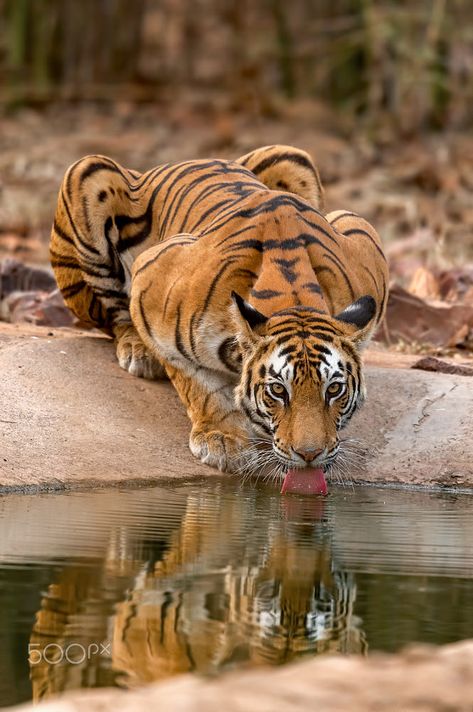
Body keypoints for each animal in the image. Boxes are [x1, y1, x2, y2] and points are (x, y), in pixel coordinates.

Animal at [50, 145, 388, 490]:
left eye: (334, 389)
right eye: (278, 391)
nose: (310, 454)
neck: (294, 298)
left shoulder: (363, 238)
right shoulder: (152, 283)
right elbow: (197, 383)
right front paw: (222, 439)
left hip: (293, 157)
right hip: (87, 172)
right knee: (115, 316)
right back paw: (139, 351)